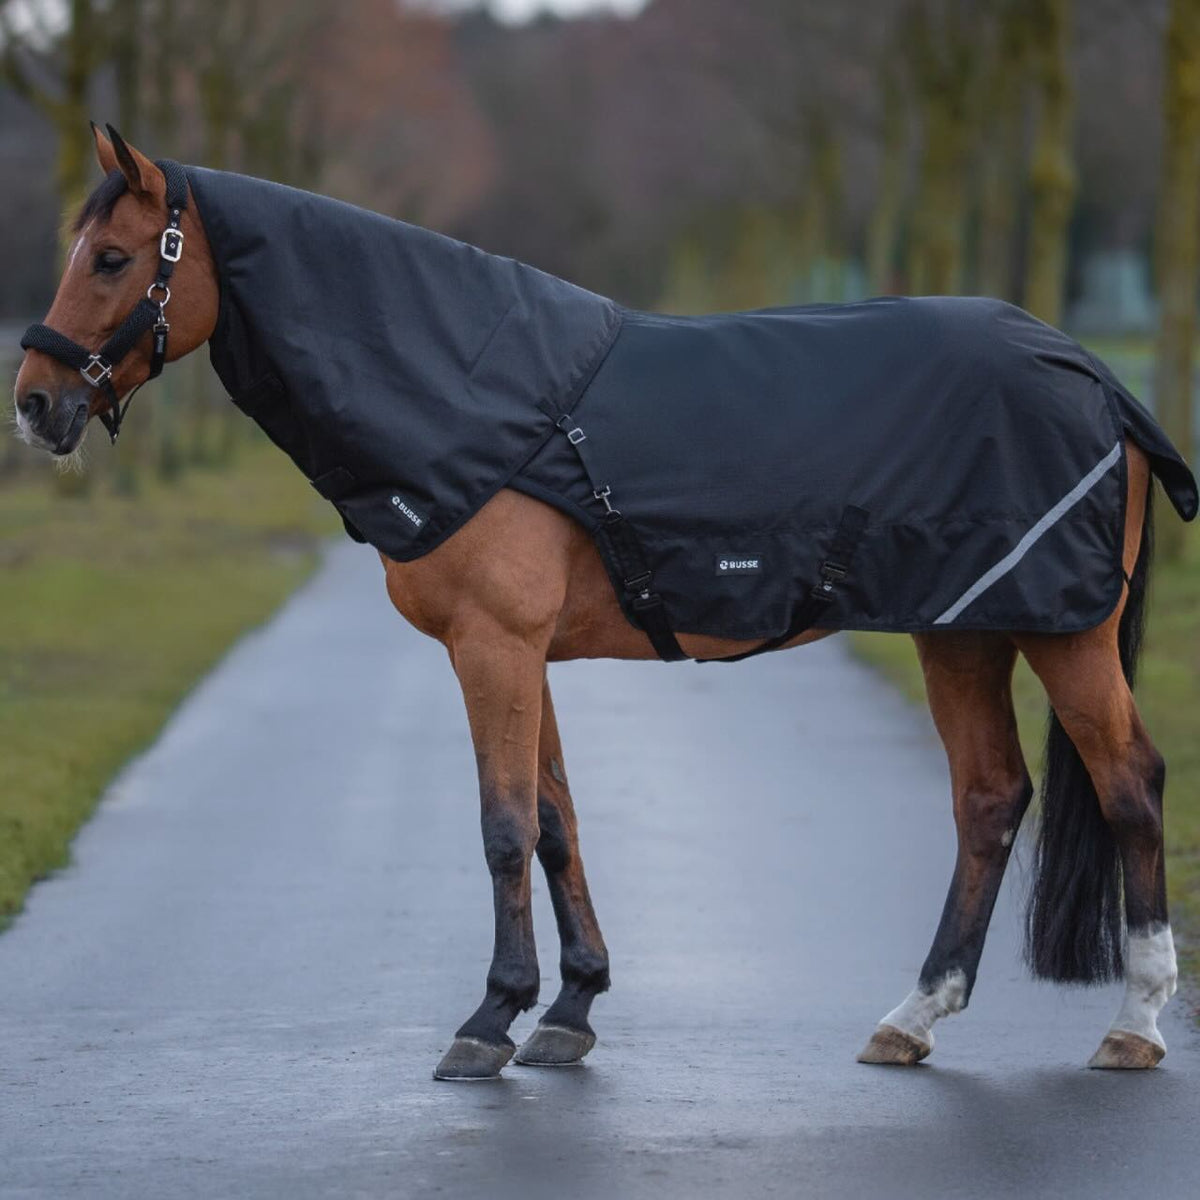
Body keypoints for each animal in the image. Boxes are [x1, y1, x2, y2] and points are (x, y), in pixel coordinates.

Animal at [13, 124, 1192, 1081]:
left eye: (113, 259)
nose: (34, 403)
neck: (477, 392)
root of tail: (1093, 374)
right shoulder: (520, 653)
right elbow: (555, 819)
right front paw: (571, 1007)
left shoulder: (492, 646)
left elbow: (501, 826)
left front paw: (489, 1019)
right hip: (966, 630)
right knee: (989, 798)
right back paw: (913, 1017)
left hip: (1063, 632)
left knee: (1129, 784)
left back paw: (1134, 1023)